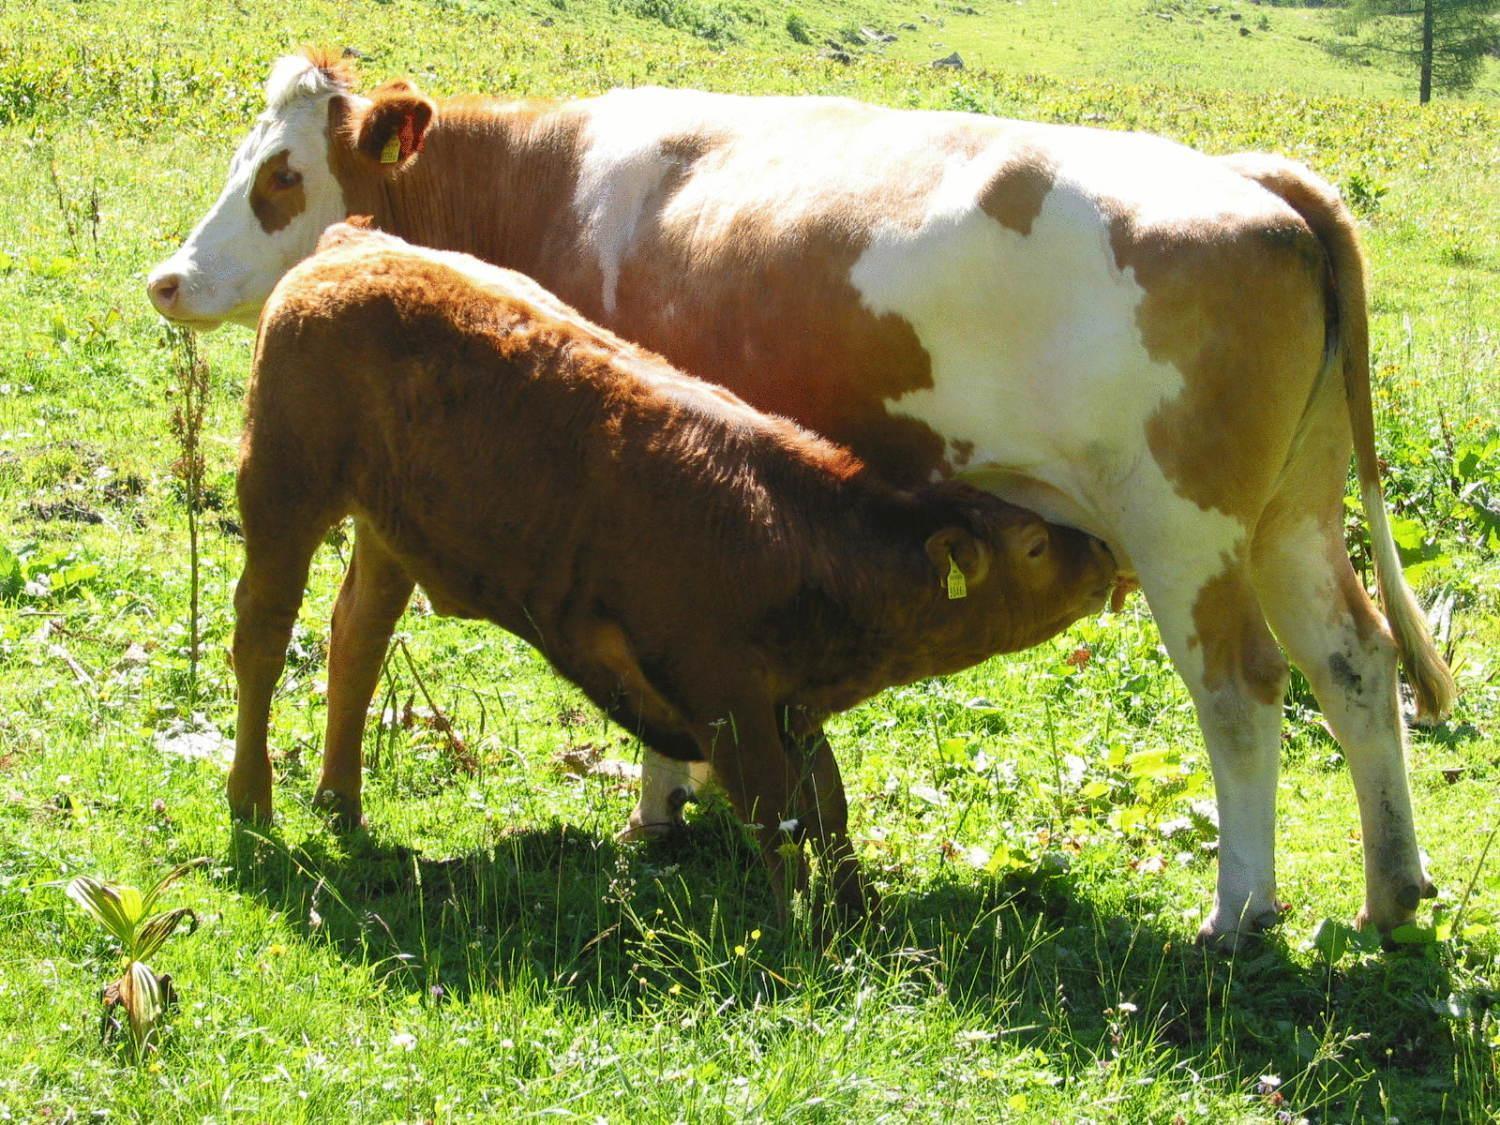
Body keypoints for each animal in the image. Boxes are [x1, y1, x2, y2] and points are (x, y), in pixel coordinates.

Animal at [225, 226, 1116, 918]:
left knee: (357, 641)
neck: (797, 531)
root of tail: (354, 244)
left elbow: (826, 804)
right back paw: (252, 799)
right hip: (283, 493)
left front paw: (858, 911)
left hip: (386, 534)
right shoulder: (725, 695)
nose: (1106, 556)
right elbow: (774, 812)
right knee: (262, 637)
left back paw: (340, 801)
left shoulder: (791, 702)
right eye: (1035, 547)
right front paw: (800, 934)